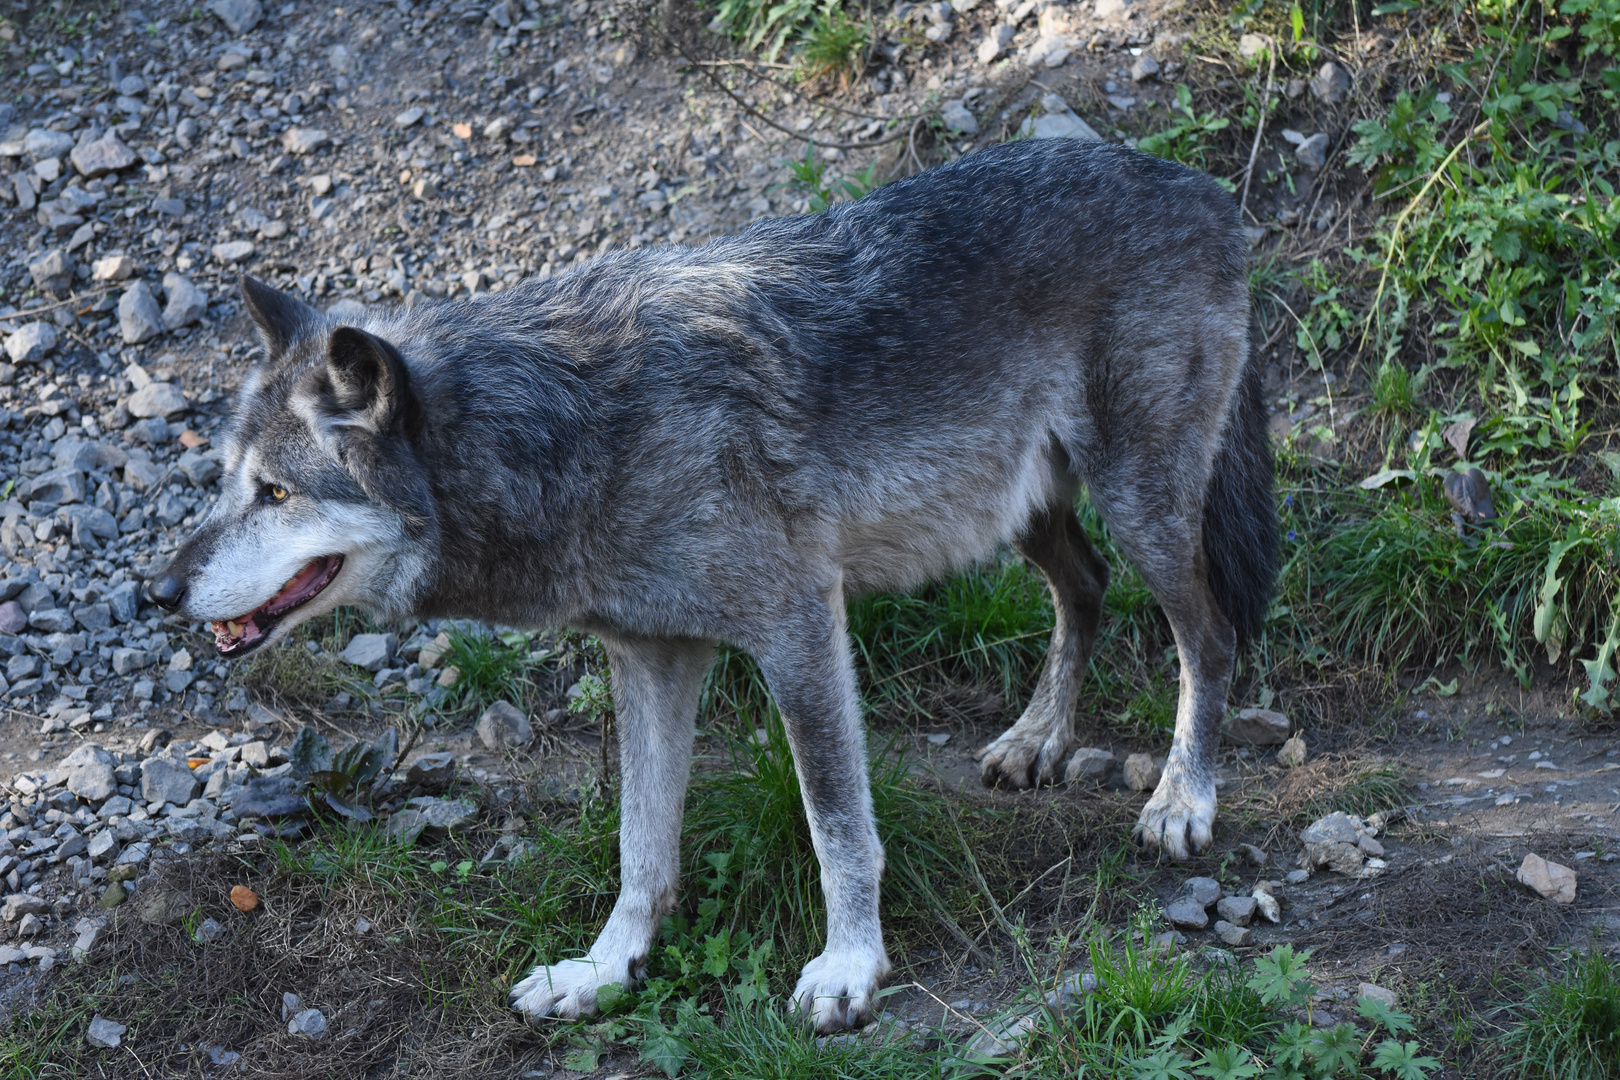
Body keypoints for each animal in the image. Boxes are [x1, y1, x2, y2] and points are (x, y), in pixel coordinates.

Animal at [149, 139, 1276, 1036]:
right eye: (224, 482)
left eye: (277, 492)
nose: (159, 591)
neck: (565, 432)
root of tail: (1200, 185)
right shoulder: (650, 658)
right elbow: (641, 849)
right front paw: (604, 973)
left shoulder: (798, 626)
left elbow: (836, 826)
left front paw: (851, 969)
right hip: (1024, 514)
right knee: (1085, 588)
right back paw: (1040, 738)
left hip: (1141, 504)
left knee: (1210, 636)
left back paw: (1183, 800)